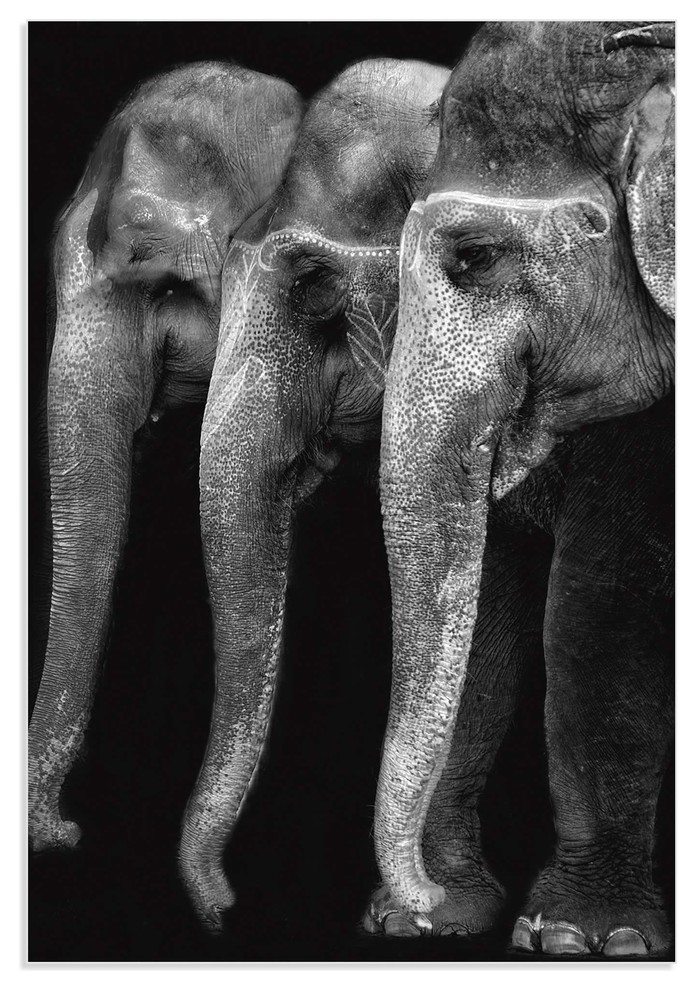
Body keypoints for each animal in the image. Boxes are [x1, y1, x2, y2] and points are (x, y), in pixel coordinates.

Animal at [371, 22, 674, 955]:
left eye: (474, 257)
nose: (419, 900)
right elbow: (494, 594)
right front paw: (436, 922)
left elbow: (604, 599)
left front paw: (585, 938)